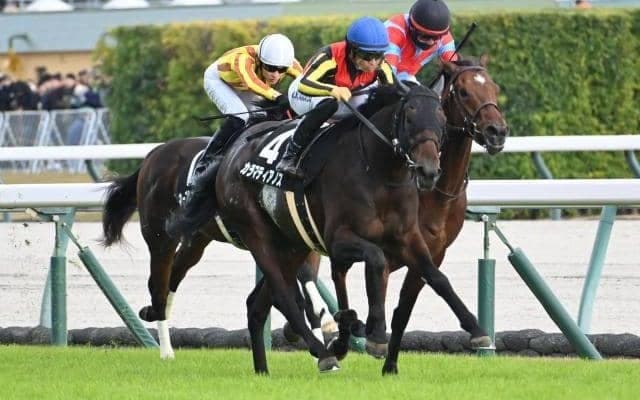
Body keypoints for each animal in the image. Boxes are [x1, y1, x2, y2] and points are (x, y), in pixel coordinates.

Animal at [101, 106, 337, 360]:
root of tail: (154, 153)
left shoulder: (304, 243)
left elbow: (308, 297)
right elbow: (294, 291)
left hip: (196, 240)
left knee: (173, 275)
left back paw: (151, 313)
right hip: (159, 237)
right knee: (159, 286)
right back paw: (166, 350)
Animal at [203, 83, 489, 374]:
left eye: (441, 119)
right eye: (409, 117)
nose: (428, 171)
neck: (380, 171)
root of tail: (233, 153)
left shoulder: (409, 238)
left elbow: (436, 277)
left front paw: (477, 330)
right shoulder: (339, 241)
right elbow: (375, 261)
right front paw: (373, 334)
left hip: (291, 245)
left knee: (257, 305)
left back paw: (263, 369)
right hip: (256, 232)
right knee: (283, 295)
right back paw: (323, 353)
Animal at [325, 56, 509, 374]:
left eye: (494, 88)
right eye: (463, 92)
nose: (496, 132)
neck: (434, 194)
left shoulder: (431, 254)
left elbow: (404, 311)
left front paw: (390, 366)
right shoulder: (384, 252)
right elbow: (378, 293)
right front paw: (371, 336)